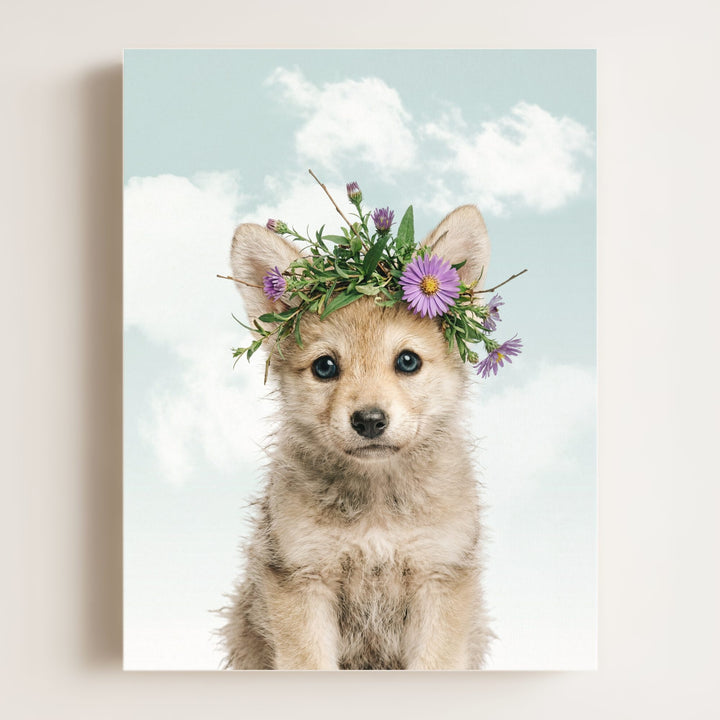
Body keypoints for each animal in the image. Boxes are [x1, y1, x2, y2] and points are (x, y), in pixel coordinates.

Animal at [220, 206, 493, 670]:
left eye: (407, 361)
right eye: (325, 367)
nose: (369, 421)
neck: (377, 506)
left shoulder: (439, 577)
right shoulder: (304, 579)